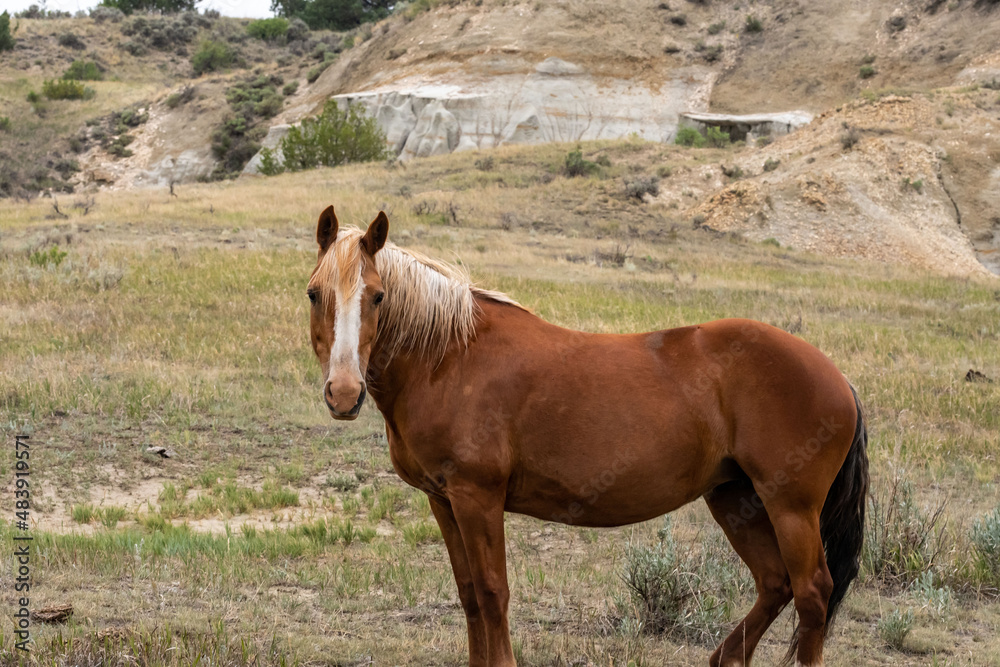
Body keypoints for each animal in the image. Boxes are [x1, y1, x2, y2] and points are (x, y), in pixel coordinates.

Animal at [306, 206, 869, 667]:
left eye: (378, 296)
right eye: (314, 293)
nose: (344, 393)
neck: (449, 356)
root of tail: (837, 377)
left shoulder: (477, 497)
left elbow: (492, 592)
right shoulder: (442, 500)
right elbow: (468, 594)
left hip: (790, 507)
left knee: (811, 592)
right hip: (736, 497)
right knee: (775, 584)